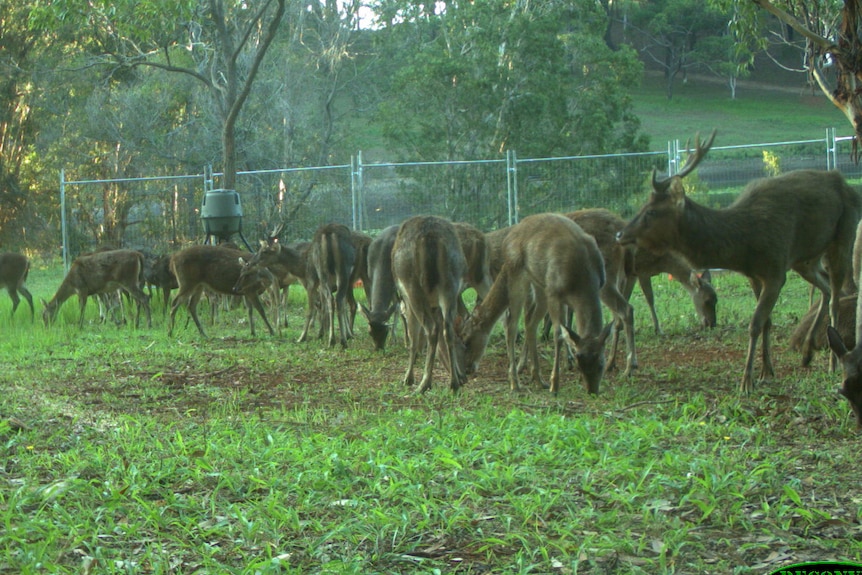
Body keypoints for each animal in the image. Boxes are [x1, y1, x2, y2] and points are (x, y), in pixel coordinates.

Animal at [394, 214, 470, 394]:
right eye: (464, 347)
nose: (466, 375)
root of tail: (429, 237)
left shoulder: (407, 302)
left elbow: (413, 338)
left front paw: (408, 378)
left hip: (413, 287)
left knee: (431, 328)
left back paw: (424, 384)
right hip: (450, 284)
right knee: (447, 329)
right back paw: (453, 383)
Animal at [460, 213, 616, 396]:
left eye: (601, 364)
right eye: (580, 363)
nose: (592, 390)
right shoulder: (554, 292)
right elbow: (559, 334)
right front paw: (555, 384)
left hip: (539, 285)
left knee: (530, 324)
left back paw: (537, 378)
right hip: (519, 275)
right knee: (512, 324)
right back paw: (515, 382)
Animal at [616, 129, 860, 396]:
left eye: (651, 212)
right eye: (642, 205)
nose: (619, 234)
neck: (746, 244)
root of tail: (846, 185)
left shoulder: (776, 270)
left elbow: (755, 323)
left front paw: (746, 381)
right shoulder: (754, 274)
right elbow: (767, 321)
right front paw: (766, 371)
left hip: (843, 234)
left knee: (836, 297)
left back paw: (833, 363)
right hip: (805, 259)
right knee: (824, 288)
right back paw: (806, 353)